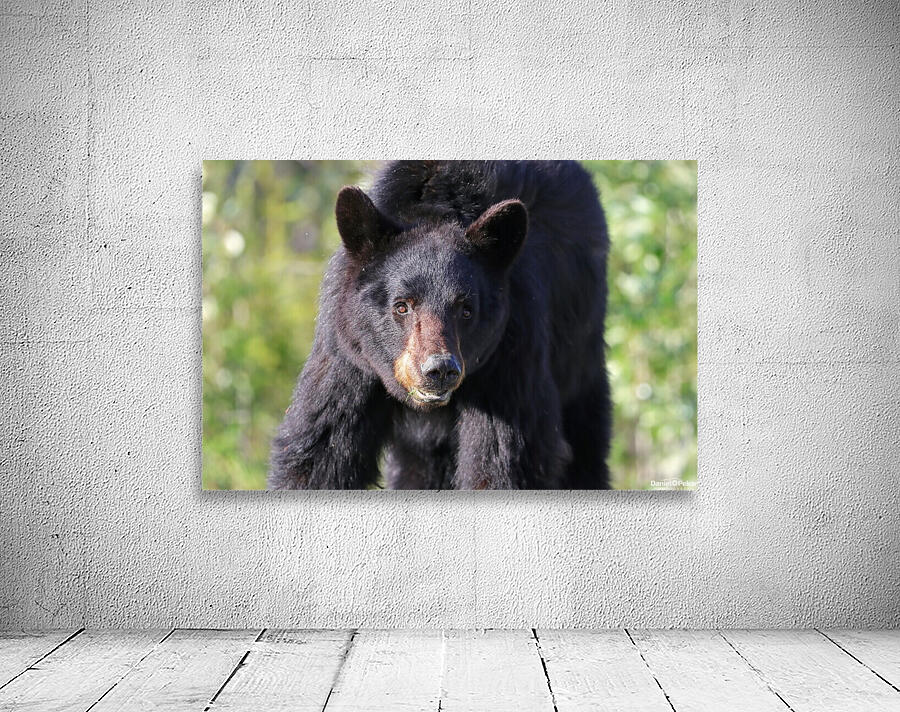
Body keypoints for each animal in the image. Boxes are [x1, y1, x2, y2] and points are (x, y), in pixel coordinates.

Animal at [269, 160, 611, 490]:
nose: (440, 370)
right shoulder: (349, 354)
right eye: (402, 306)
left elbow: (503, 459)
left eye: (466, 310)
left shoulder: (509, 353)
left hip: (580, 360)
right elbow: (320, 450)